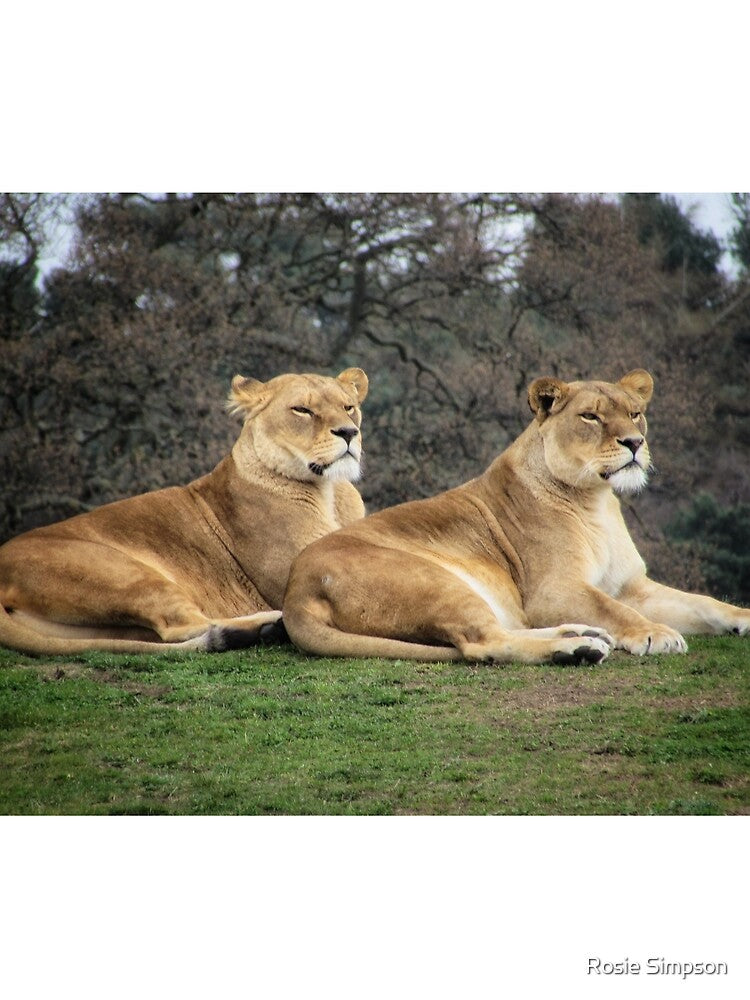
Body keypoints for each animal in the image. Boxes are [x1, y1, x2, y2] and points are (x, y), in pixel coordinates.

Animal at [0, 368, 369, 656]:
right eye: (302, 410)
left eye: (348, 407)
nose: (349, 432)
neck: (331, 491)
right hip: (124, 573)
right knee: (180, 624)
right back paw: (269, 625)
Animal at [282, 369, 750, 664]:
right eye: (591, 416)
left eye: (635, 413)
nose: (634, 442)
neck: (596, 501)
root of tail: (296, 592)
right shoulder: (551, 591)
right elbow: (614, 609)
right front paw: (656, 634)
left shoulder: (632, 585)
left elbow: (703, 602)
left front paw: (741, 618)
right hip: (436, 580)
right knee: (483, 643)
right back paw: (577, 649)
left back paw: (581, 635)